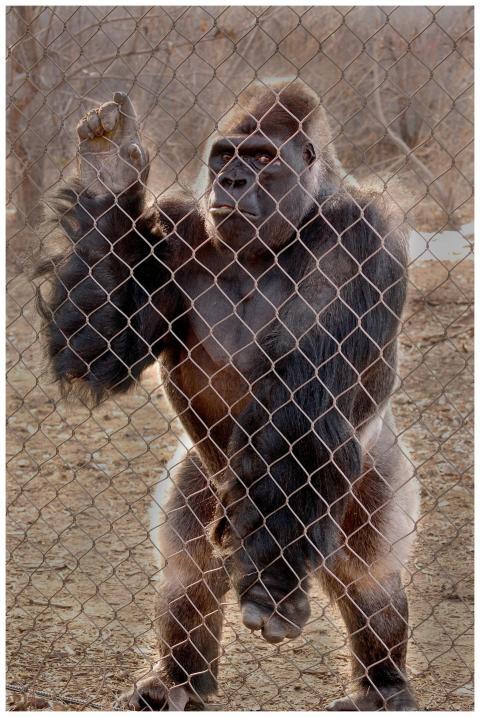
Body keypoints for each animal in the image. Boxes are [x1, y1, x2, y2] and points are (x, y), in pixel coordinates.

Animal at [36, 79, 420, 710]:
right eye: (225, 156)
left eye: (261, 158)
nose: (233, 181)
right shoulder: (176, 228)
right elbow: (100, 349)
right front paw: (108, 174)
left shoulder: (359, 236)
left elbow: (302, 400)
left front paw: (272, 585)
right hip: (208, 481)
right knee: (189, 567)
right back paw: (179, 682)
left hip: (373, 474)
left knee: (369, 574)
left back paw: (383, 687)